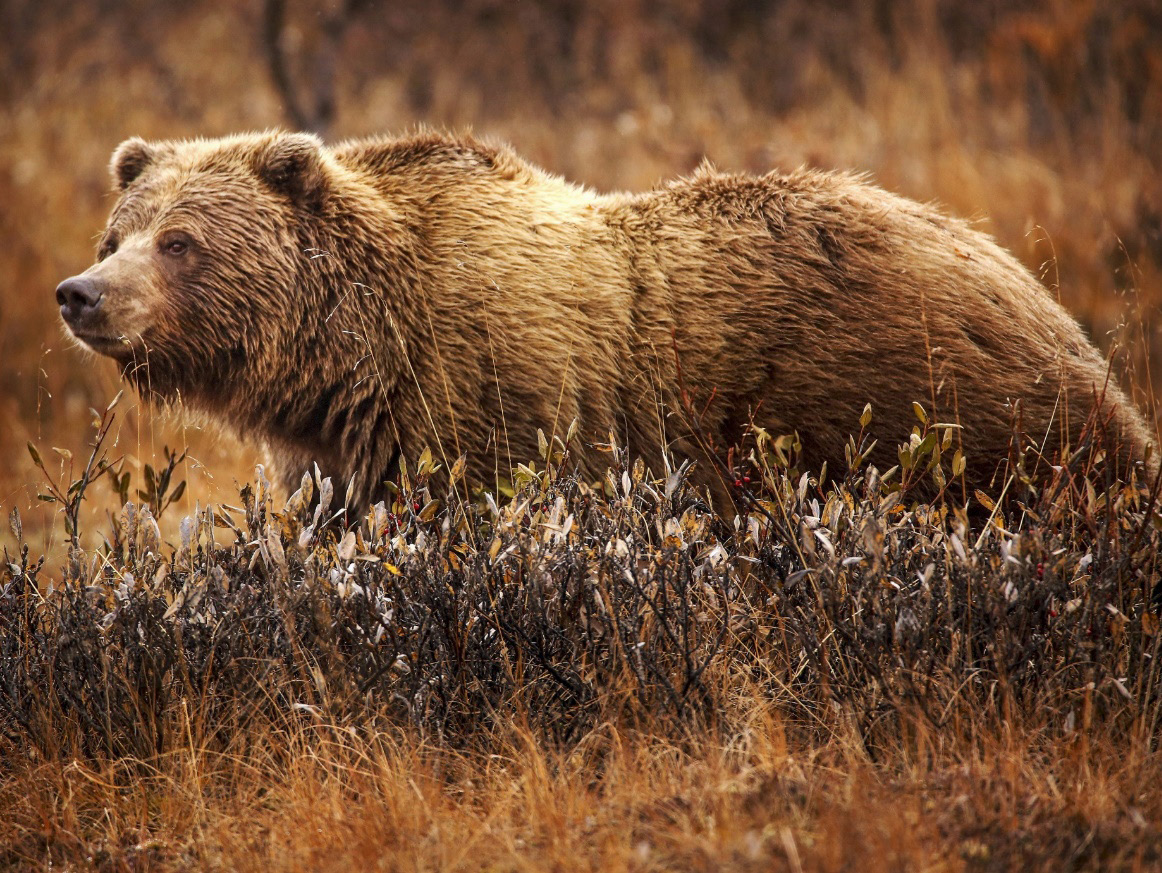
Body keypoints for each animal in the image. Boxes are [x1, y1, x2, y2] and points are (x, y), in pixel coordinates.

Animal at [55, 129, 1156, 508]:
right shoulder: (347, 449)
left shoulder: (494, 402)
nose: (81, 293)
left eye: (181, 241)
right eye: (118, 232)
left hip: (931, 409)